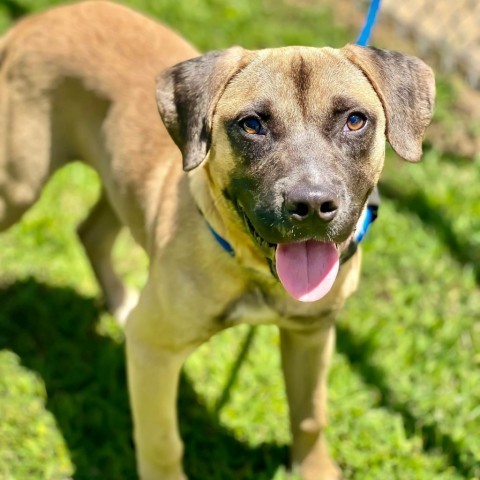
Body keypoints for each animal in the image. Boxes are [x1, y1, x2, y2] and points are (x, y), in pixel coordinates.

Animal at [0, 1, 436, 478]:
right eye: (252, 125)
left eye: (355, 121)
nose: (312, 205)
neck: (254, 269)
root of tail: (35, 21)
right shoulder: (154, 350)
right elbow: (162, 443)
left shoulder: (312, 332)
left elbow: (310, 415)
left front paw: (315, 469)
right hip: (18, 186)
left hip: (117, 182)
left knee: (91, 233)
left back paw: (121, 303)